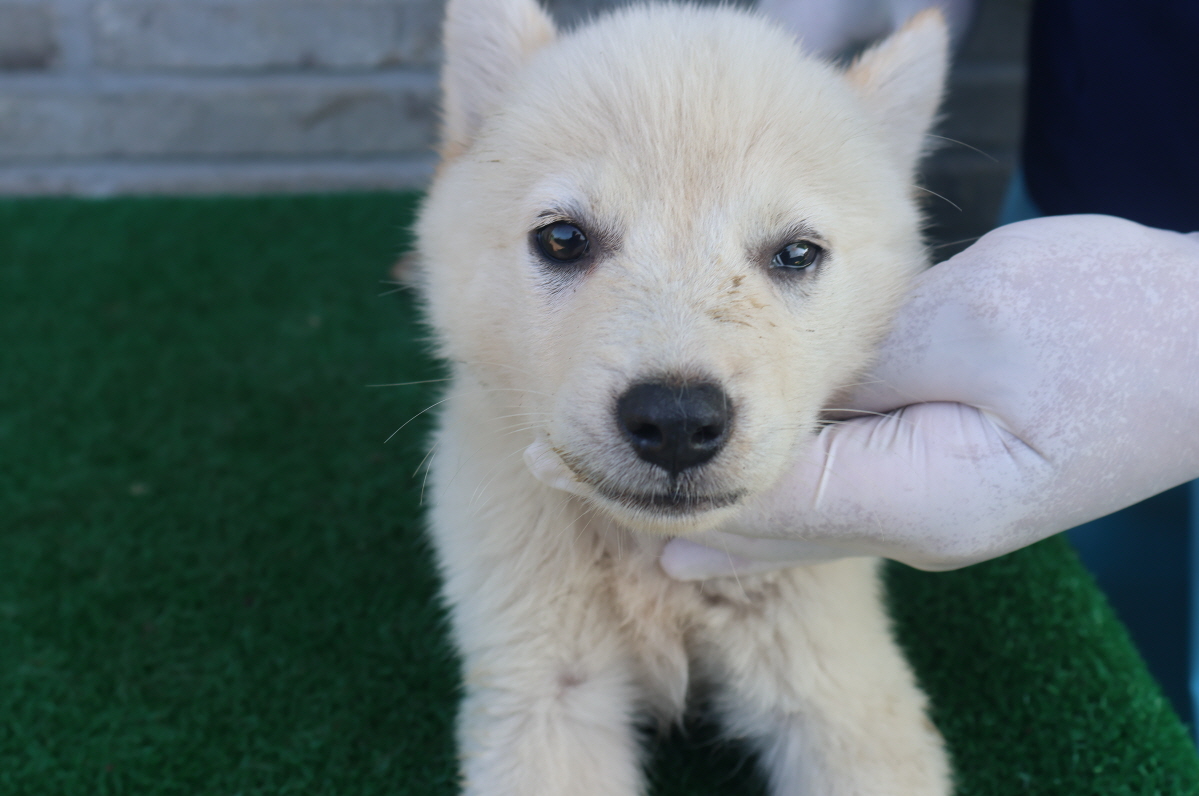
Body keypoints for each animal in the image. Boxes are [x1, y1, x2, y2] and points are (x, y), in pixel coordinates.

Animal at [417, 3, 949, 791]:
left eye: (796, 253)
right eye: (563, 238)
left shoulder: (838, 685)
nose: (675, 420)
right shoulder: (542, 688)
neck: (652, 555)